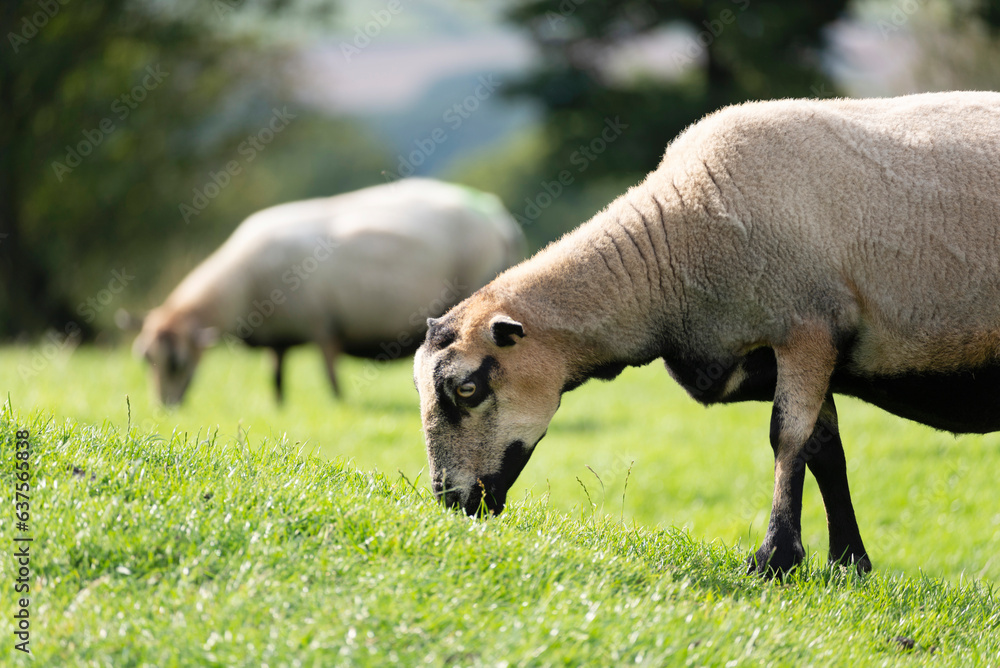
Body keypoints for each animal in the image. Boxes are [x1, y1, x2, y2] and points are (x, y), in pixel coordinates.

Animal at [129, 178, 525, 405]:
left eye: (177, 362)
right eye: (145, 357)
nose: (164, 406)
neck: (242, 284)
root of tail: (499, 221)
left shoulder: (321, 325)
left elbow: (329, 371)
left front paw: (338, 401)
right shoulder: (279, 335)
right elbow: (276, 375)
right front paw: (278, 406)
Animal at [413, 91, 1000, 577]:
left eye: (467, 388)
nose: (451, 501)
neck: (676, 245)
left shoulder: (806, 328)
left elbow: (788, 438)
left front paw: (775, 560)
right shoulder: (791, 351)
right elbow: (825, 450)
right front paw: (848, 564)